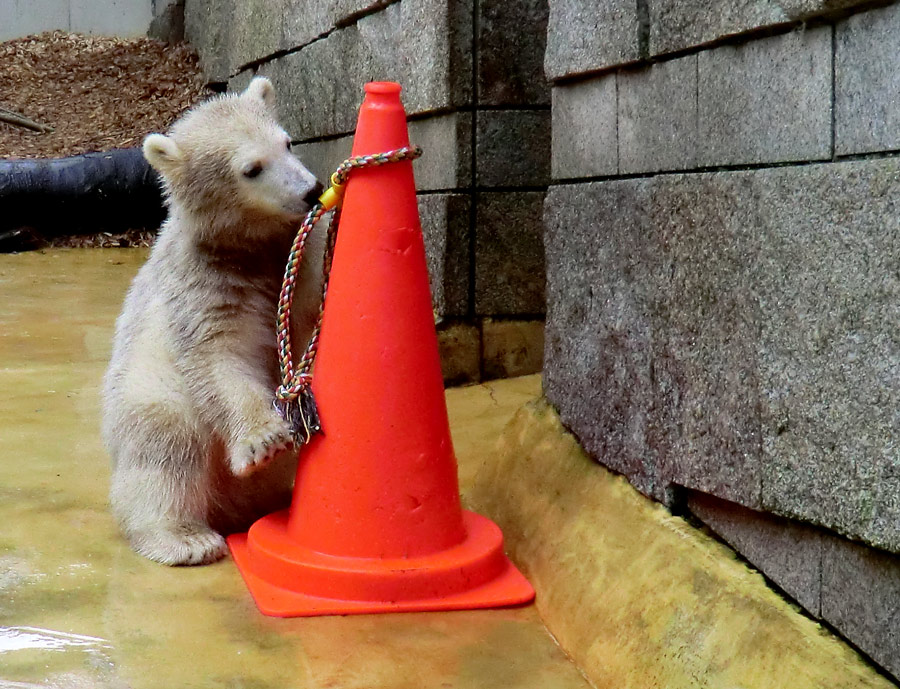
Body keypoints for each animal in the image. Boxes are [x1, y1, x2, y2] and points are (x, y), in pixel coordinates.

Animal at [103, 76, 326, 564]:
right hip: (149, 393)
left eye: (287, 142)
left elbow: (306, 312)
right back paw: (185, 537)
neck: (242, 248)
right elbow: (219, 356)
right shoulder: (202, 285)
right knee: (166, 447)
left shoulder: (292, 256)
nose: (312, 190)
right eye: (251, 168)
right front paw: (264, 441)